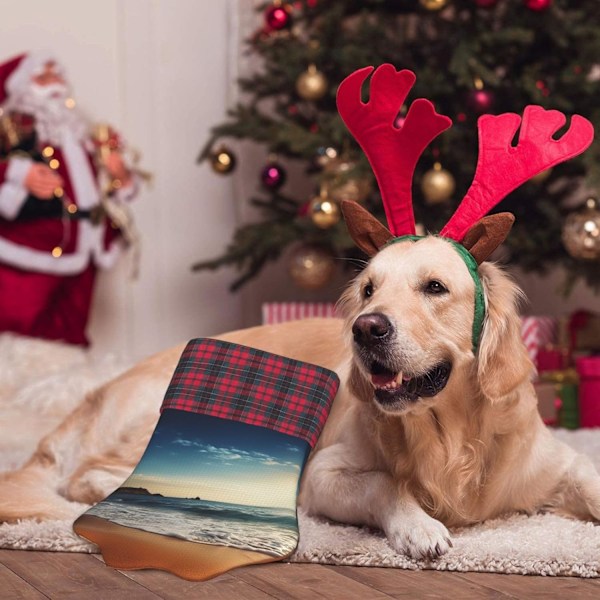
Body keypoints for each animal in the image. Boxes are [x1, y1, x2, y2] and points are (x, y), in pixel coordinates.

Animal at [3, 232, 600, 560]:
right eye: (369, 289)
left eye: (435, 287)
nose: (366, 328)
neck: (452, 438)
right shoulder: (322, 473)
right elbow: (385, 483)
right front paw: (419, 526)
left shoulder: (558, 464)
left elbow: (589, 478)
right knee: (90, 474)